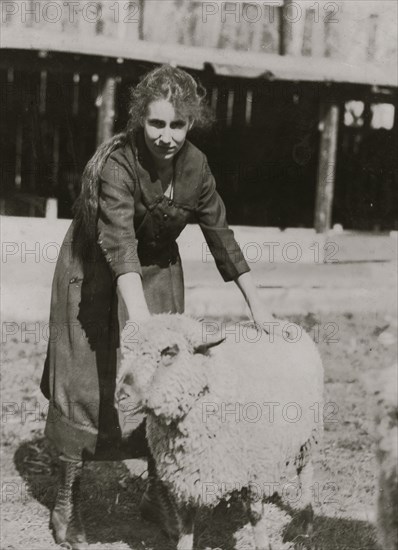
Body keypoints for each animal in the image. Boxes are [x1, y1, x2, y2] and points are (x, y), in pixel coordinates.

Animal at [115, 314, 324, 550]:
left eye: (169, 352)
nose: (121, 395)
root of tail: (282, 322)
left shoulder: (254, 472)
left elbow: (256, 516)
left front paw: (262, 543)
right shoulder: (184, 476)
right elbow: (186, 523)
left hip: (308, 438)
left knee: (305, 475)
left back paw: (306, 524)